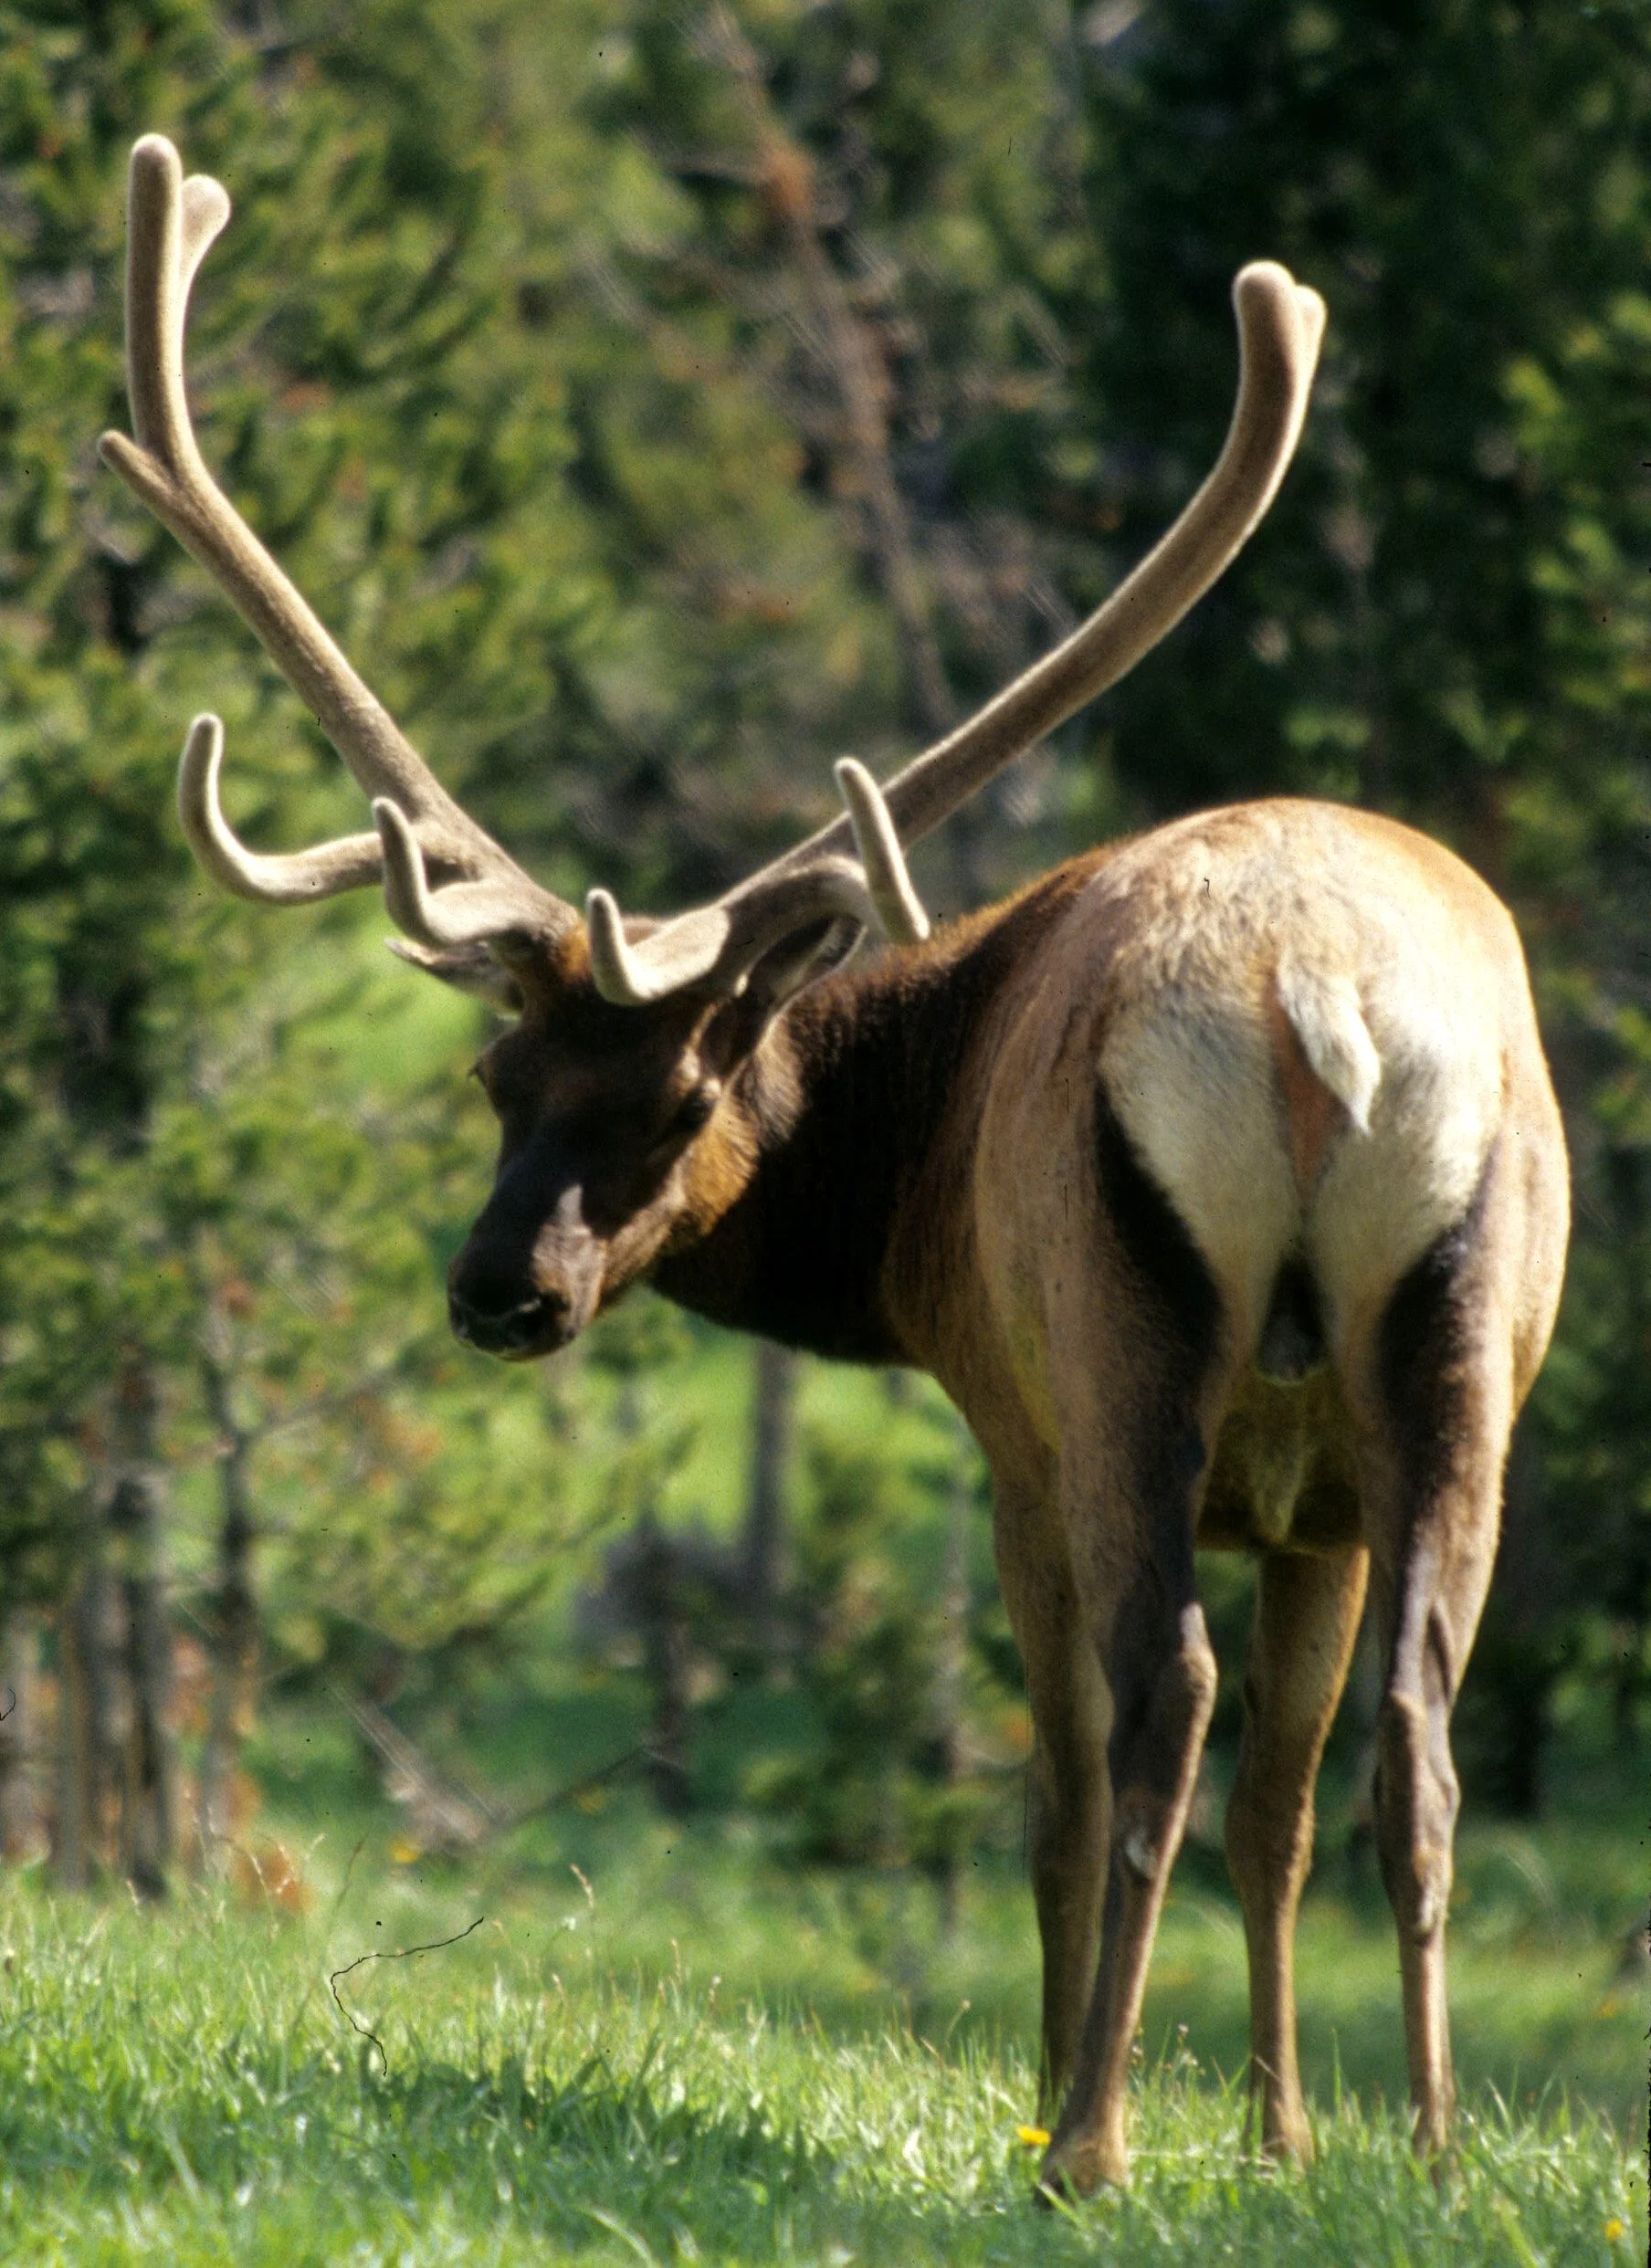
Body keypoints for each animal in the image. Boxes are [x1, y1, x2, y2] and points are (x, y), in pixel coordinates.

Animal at [101, 136, 1568, 2192]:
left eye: (676, 1101)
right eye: (495, 1071)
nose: (497, 1291)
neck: (906, 1183)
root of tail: (1317, 1008)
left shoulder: (1010, 1422)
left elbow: (1061, 1788)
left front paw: (1076, 2099)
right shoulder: (1315, 1507)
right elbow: (1279, 1810)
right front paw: (1283, 2137)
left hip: (1116, 1342)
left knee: (1158, 1703)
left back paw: (1084, 2142)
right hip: (1447, 1337)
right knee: (1413, 1730)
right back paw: (1429, 2152)